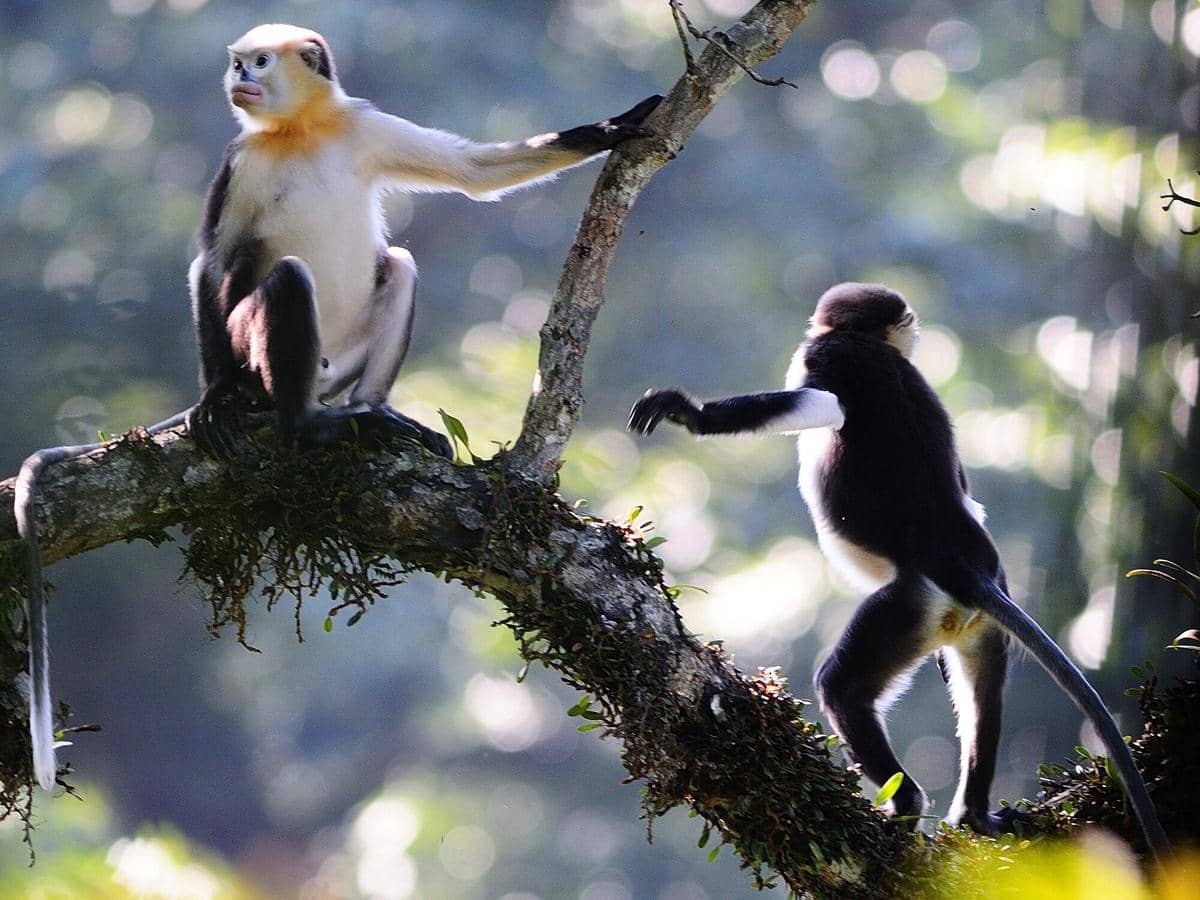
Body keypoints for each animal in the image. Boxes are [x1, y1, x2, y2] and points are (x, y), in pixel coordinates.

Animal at [14, 23, 661, 791]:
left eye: (258, 63)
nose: (238, 78)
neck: (300, 131)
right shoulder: (241, 161)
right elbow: (211, 262)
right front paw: (212, 401)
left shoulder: (363, 126)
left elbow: (472, 171)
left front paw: (615, 126)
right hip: (262, 351)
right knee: (282, 278)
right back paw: (288, 419)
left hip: (343, 357)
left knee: (400, 264)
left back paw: (375, 415)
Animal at [627, 282, 1169, 856]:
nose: (916, 331)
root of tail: (959, 562)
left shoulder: (830, 355)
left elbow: (818, 400)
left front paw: (691, 413)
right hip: (973, 620)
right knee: (983, 690)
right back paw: (975, 815)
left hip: (908, 603)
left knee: (841, 688)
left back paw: (907, 803)